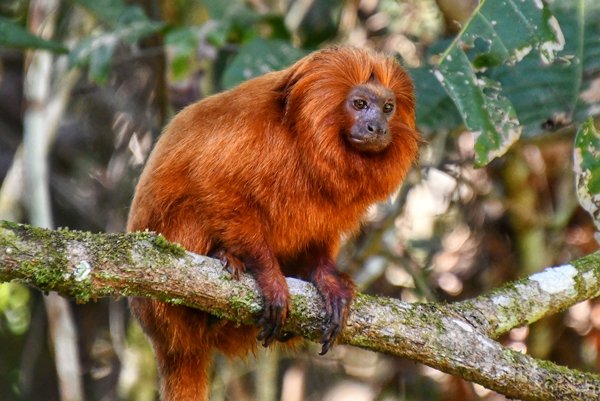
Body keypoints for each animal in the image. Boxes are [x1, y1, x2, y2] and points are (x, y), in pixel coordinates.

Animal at [127, 46, 418, 400]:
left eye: (388, 108)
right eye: (360, 104)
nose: (377, 126)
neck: (302, 137)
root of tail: (161, 338)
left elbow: (319, 236)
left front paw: (328, 279)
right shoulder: (250, 132)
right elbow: (215, 184)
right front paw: (269, 277)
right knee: (193, 207)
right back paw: (222, 261)